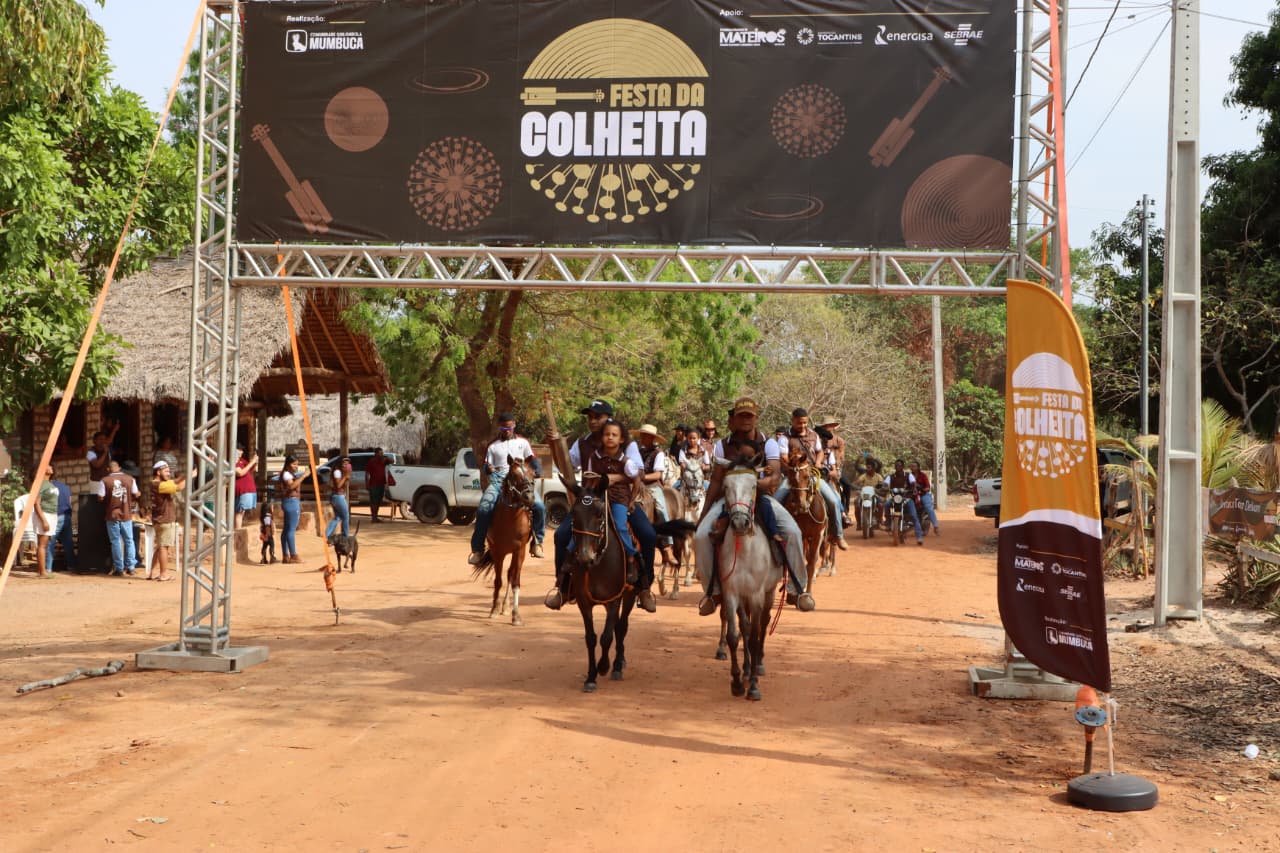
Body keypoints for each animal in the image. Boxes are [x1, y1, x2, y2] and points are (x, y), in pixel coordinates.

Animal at [471, 456, 534, 626]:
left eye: (532, 474)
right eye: (513, 475)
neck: (510, 518)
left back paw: (506, 606)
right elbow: (497, 581)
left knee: (510, 574)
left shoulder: (519, 550)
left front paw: (516, 615)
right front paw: (494, 609)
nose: (529, 497)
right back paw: (501, 606)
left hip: (516, 553)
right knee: (504, 575)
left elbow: (516, 582)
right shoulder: (497, 551)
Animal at [566, 473, 637, 693]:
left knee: (621, 627)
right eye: (573, 514)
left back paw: (618, 664)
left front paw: (604, 666)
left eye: (599, 514)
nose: (584, 558)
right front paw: (591, 676)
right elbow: (591, 638)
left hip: (629, 595)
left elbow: (607, 636)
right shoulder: (583, 601)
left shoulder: (614, 599)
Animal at [715, 453, 785, 701]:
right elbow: (734, 636)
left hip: (768, 592)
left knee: (763, 624)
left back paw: (757, 667)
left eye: (754, 485)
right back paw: (746, 671)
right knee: (745, 627)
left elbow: (754, 638)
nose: (739, 523)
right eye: (726, 486)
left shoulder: (756, 595)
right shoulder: (731, 593)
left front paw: (753, 686)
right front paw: (737, 682)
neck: (744, 549)